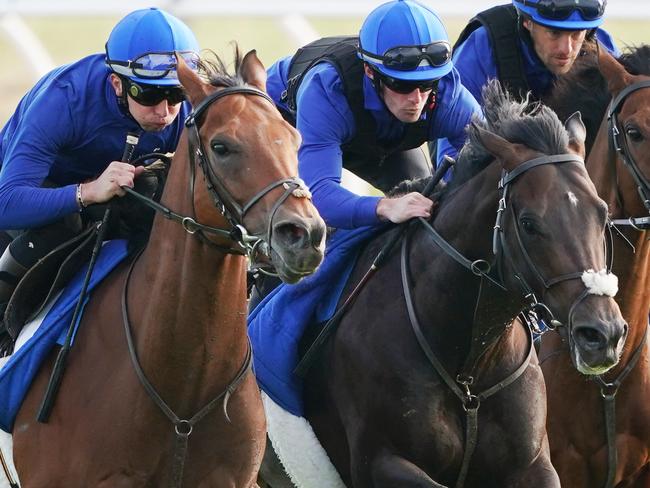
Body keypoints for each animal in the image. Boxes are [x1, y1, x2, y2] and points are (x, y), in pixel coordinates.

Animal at [260, 83, 624, 488]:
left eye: (603, 214)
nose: (603, 333)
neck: (468, 365)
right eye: (529, 223)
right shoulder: (380, 461)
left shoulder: (532, 464)